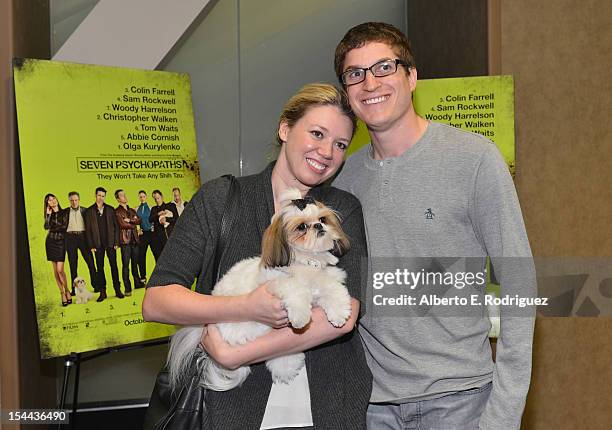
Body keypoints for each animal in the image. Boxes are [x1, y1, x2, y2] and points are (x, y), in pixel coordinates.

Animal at [167, 188, 352, 394]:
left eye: (323, 218)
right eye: (302, 226)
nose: (319, 226)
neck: (308, 261)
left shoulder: (326, 279)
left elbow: (333, 290)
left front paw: (339, 314)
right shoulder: (276, 282)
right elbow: (296, 289)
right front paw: (301, 316)